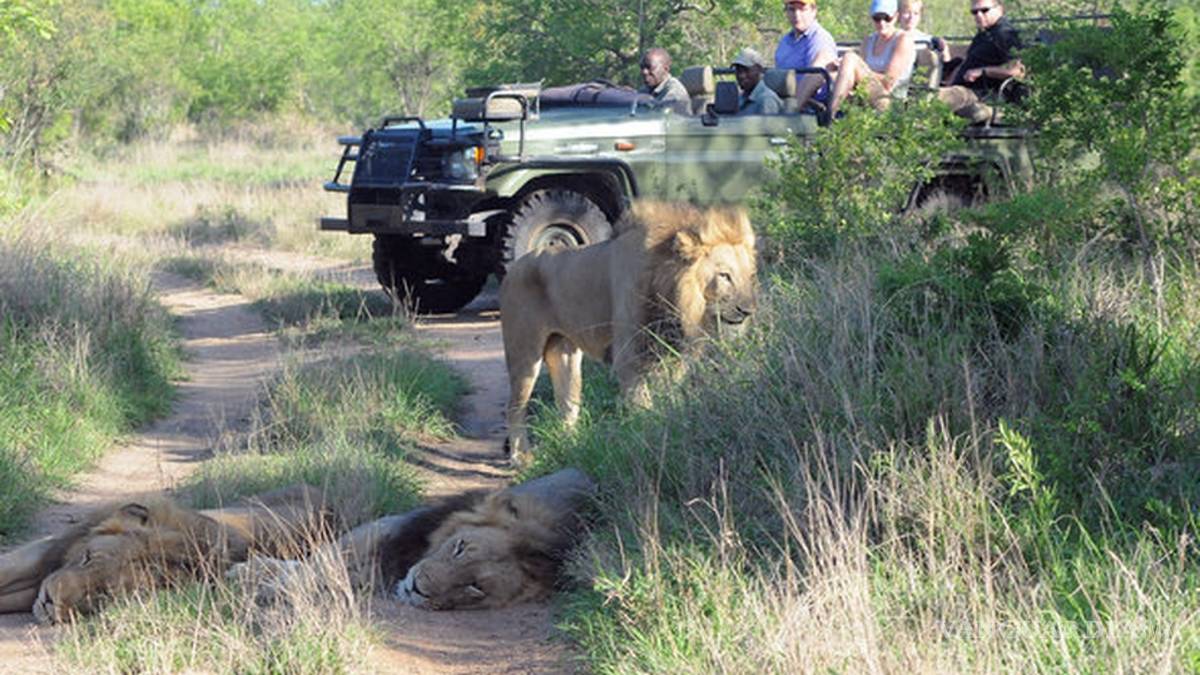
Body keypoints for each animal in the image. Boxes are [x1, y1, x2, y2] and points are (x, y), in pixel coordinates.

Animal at [227, 468, 595, 611]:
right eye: (459, 547)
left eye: (474, 587)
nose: (418, 587)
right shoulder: (375, 532)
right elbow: (312, 564)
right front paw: (252, 574)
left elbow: (316, 575)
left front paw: (267, 587)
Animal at [499, 201, 758, 460]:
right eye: (724, 276)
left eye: (749, 276)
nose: (748, 310)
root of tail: (513, 269)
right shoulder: (629, 359)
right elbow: (642, 405)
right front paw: (646, 436)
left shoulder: (672, 358)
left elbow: (670, 398)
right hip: (524, 353)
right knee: (514, 407)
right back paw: (521, 458)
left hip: (565, 353)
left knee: (567, 404)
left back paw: (569, 447)